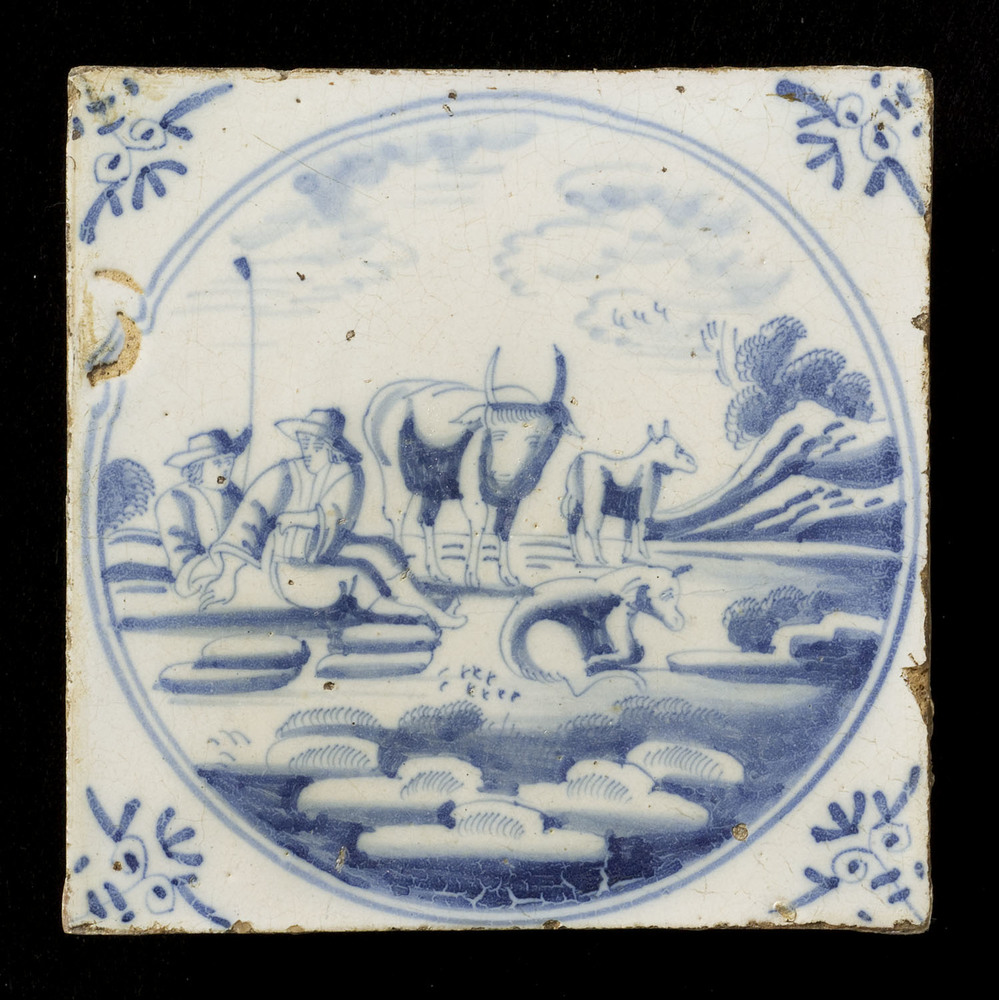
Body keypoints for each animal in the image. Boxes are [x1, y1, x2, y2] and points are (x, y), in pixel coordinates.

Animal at [363, 347, 580, 589]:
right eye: (495, 433)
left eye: (534, 438)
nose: (502, 475)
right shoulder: (473, 499)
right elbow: (479, 528)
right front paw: (472, 577)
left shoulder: (513, 501)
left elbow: (503, 531)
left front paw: (508, 576)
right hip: (392, 472)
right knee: (397, 516)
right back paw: (403, 566)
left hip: (433, 489)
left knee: (426, 519)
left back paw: (437, 573)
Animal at [561, 421, 697, 565]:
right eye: (677, 450)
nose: (693, 464)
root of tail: (578, 462)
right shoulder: (642, 510)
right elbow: (640, 531)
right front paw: (645, 556)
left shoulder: (629, 511)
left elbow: (628, 533)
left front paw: (624, 557)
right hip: (593, 506)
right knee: (592, 530)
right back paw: (600, 559)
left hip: (575, 502)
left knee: (572, 527)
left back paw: (577, 557)